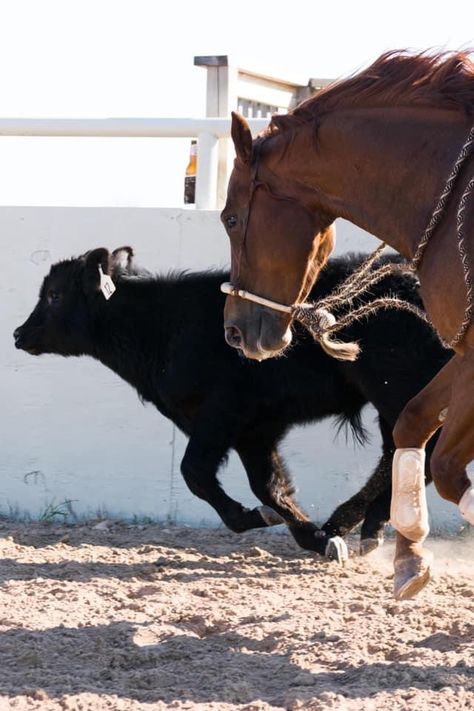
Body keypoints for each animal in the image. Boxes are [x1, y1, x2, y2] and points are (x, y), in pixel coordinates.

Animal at [12, 248, 450, 560]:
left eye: (54, 295)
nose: (18, 334)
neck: (166, 327)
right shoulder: (256, 430)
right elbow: (270, 485)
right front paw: (313, 536)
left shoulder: (222, 415)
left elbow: (195, 473)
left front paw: (259, 519)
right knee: (405, 455)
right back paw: (360, 526)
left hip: (397, 392)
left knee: (419, 454)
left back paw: (359, 523)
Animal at [222, 48, 474, 600]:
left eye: (229, 218)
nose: (234, 331)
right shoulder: (463, 351)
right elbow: (416, 425)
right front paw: (409, 557)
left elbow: (445, 466)